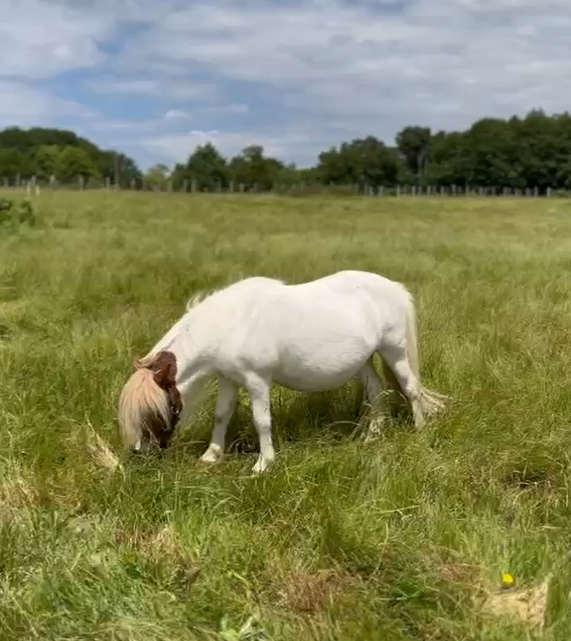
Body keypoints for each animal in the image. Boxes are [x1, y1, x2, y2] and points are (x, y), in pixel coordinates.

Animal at [118, 268, 450, 472]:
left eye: (153, 412)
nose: (139, 452)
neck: (232, 323)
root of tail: (394, 288)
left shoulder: (257, 380)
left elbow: (262, 421)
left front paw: (264, 464)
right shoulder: (228, 379)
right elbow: (221, 415)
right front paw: (211, 456)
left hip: (395, 351)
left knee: (410, 388)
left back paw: (420, 432)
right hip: (365, 360)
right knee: (376, 390)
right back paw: (371, 436)